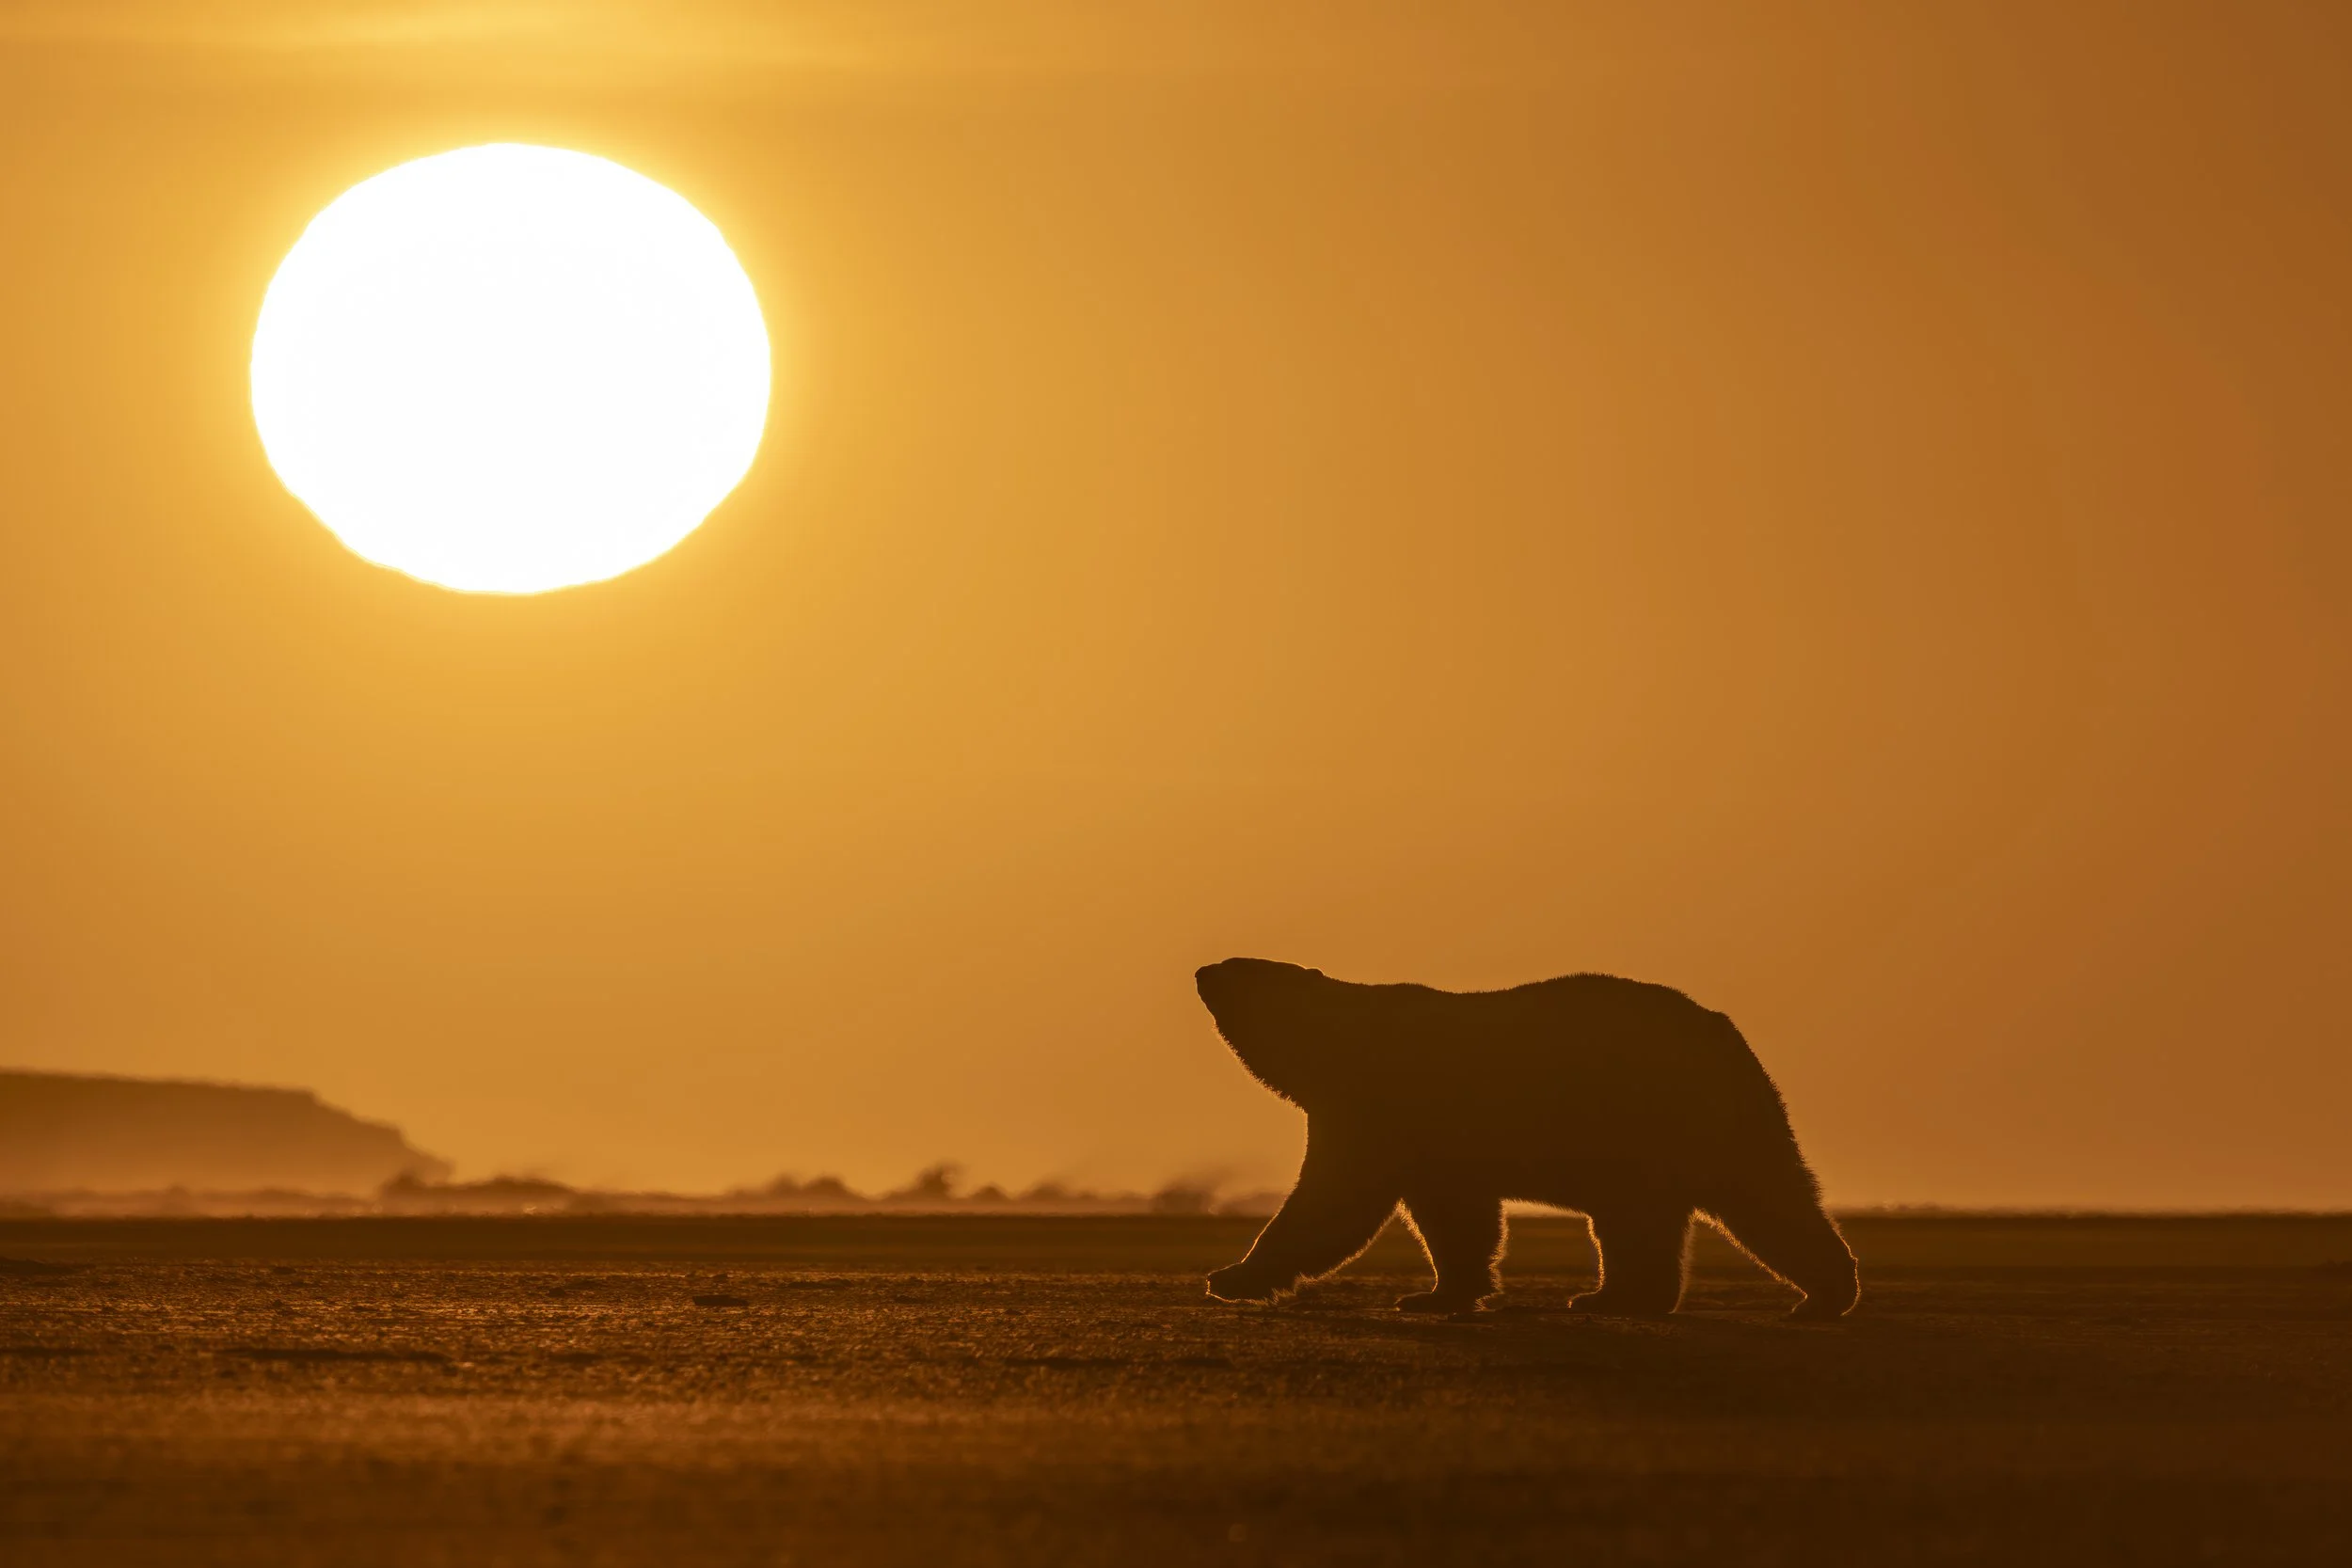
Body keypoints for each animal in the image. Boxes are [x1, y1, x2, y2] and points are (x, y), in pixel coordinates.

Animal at [1194, 958, 1858, 1319]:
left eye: (1241, 969)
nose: (1202, 970)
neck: (1337, 1047)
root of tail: (1724, 1029)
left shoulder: (1377, 1106)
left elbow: (1332, 1202)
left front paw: (1231, 1276)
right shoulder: (1429, 1136)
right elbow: (1454, 1215)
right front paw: (1439, 1294)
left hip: (1659, 1113)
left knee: (1749, 1195)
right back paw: (1618, 1297)